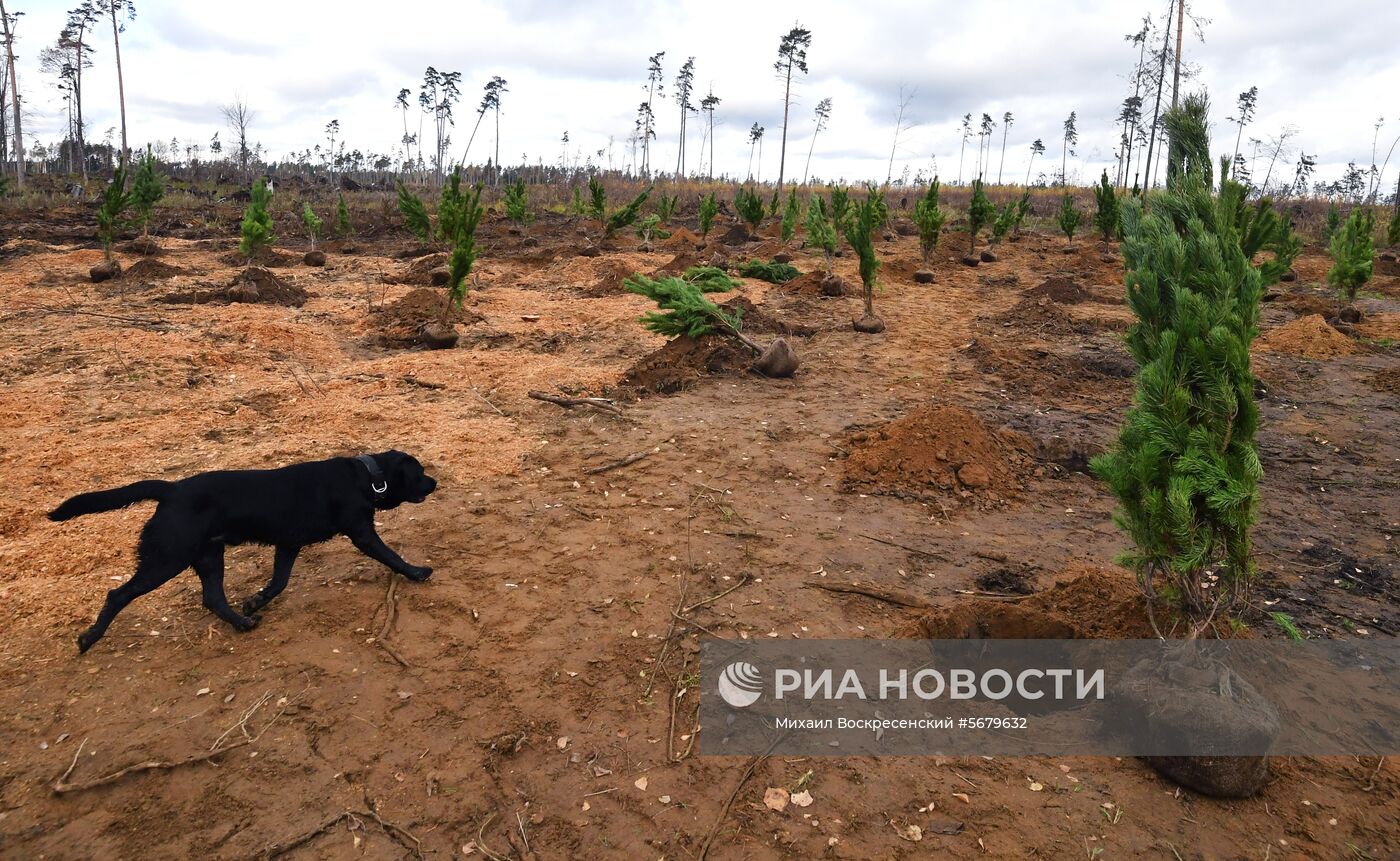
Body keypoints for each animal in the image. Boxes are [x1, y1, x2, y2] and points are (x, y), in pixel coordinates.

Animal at [51, 450, 436, 652]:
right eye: (419, 472)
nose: (435, 482)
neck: (367, 477)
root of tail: (171, 489)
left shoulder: (288, 544)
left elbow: (278, 583)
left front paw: (254, 601)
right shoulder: (361, 533)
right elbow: (391, 555)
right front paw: (417, 572)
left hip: (208, 556)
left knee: (213, 598)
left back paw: (242, 622)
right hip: (167, 558)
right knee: (117, 594)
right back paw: (90, 638)